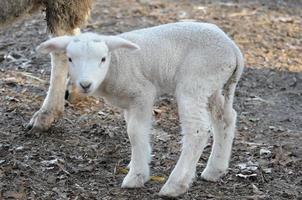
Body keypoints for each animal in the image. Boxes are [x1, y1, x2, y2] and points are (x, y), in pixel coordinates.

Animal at [35, 21, 244, 197]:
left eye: (103, 59)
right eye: (70, 59)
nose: (85, 84)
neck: (117, 62)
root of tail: (233, 49)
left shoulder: (142, 93)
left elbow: (135, 132)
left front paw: (136, 175)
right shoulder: (129, 103)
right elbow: (134, 130)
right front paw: (138, 160)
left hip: (195, 82)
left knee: (198, 130)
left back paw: (175, 184)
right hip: (212, 86)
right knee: (225, 118)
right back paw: (215, 170)